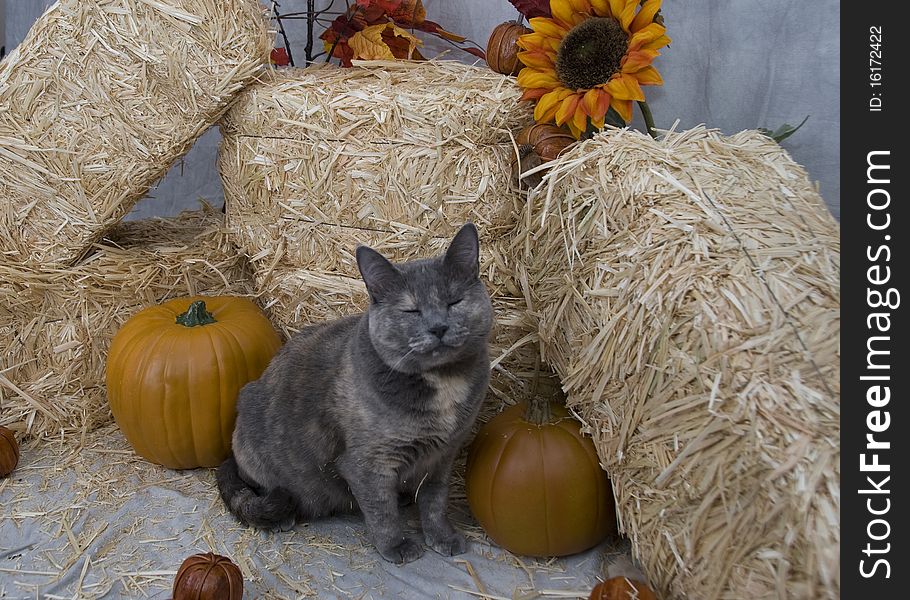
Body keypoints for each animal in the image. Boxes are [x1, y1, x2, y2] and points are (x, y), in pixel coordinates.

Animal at [218, 223, 496, 564]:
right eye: (411, 310)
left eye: (454, 302)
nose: (438, 327)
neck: (442, 381)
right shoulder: (368, 463)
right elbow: (382, 511)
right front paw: (397, 546)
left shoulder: (443, 455)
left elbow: (435, 502)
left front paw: (442, 536)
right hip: (256, 452)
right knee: (257, 486)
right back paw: (283, 515)